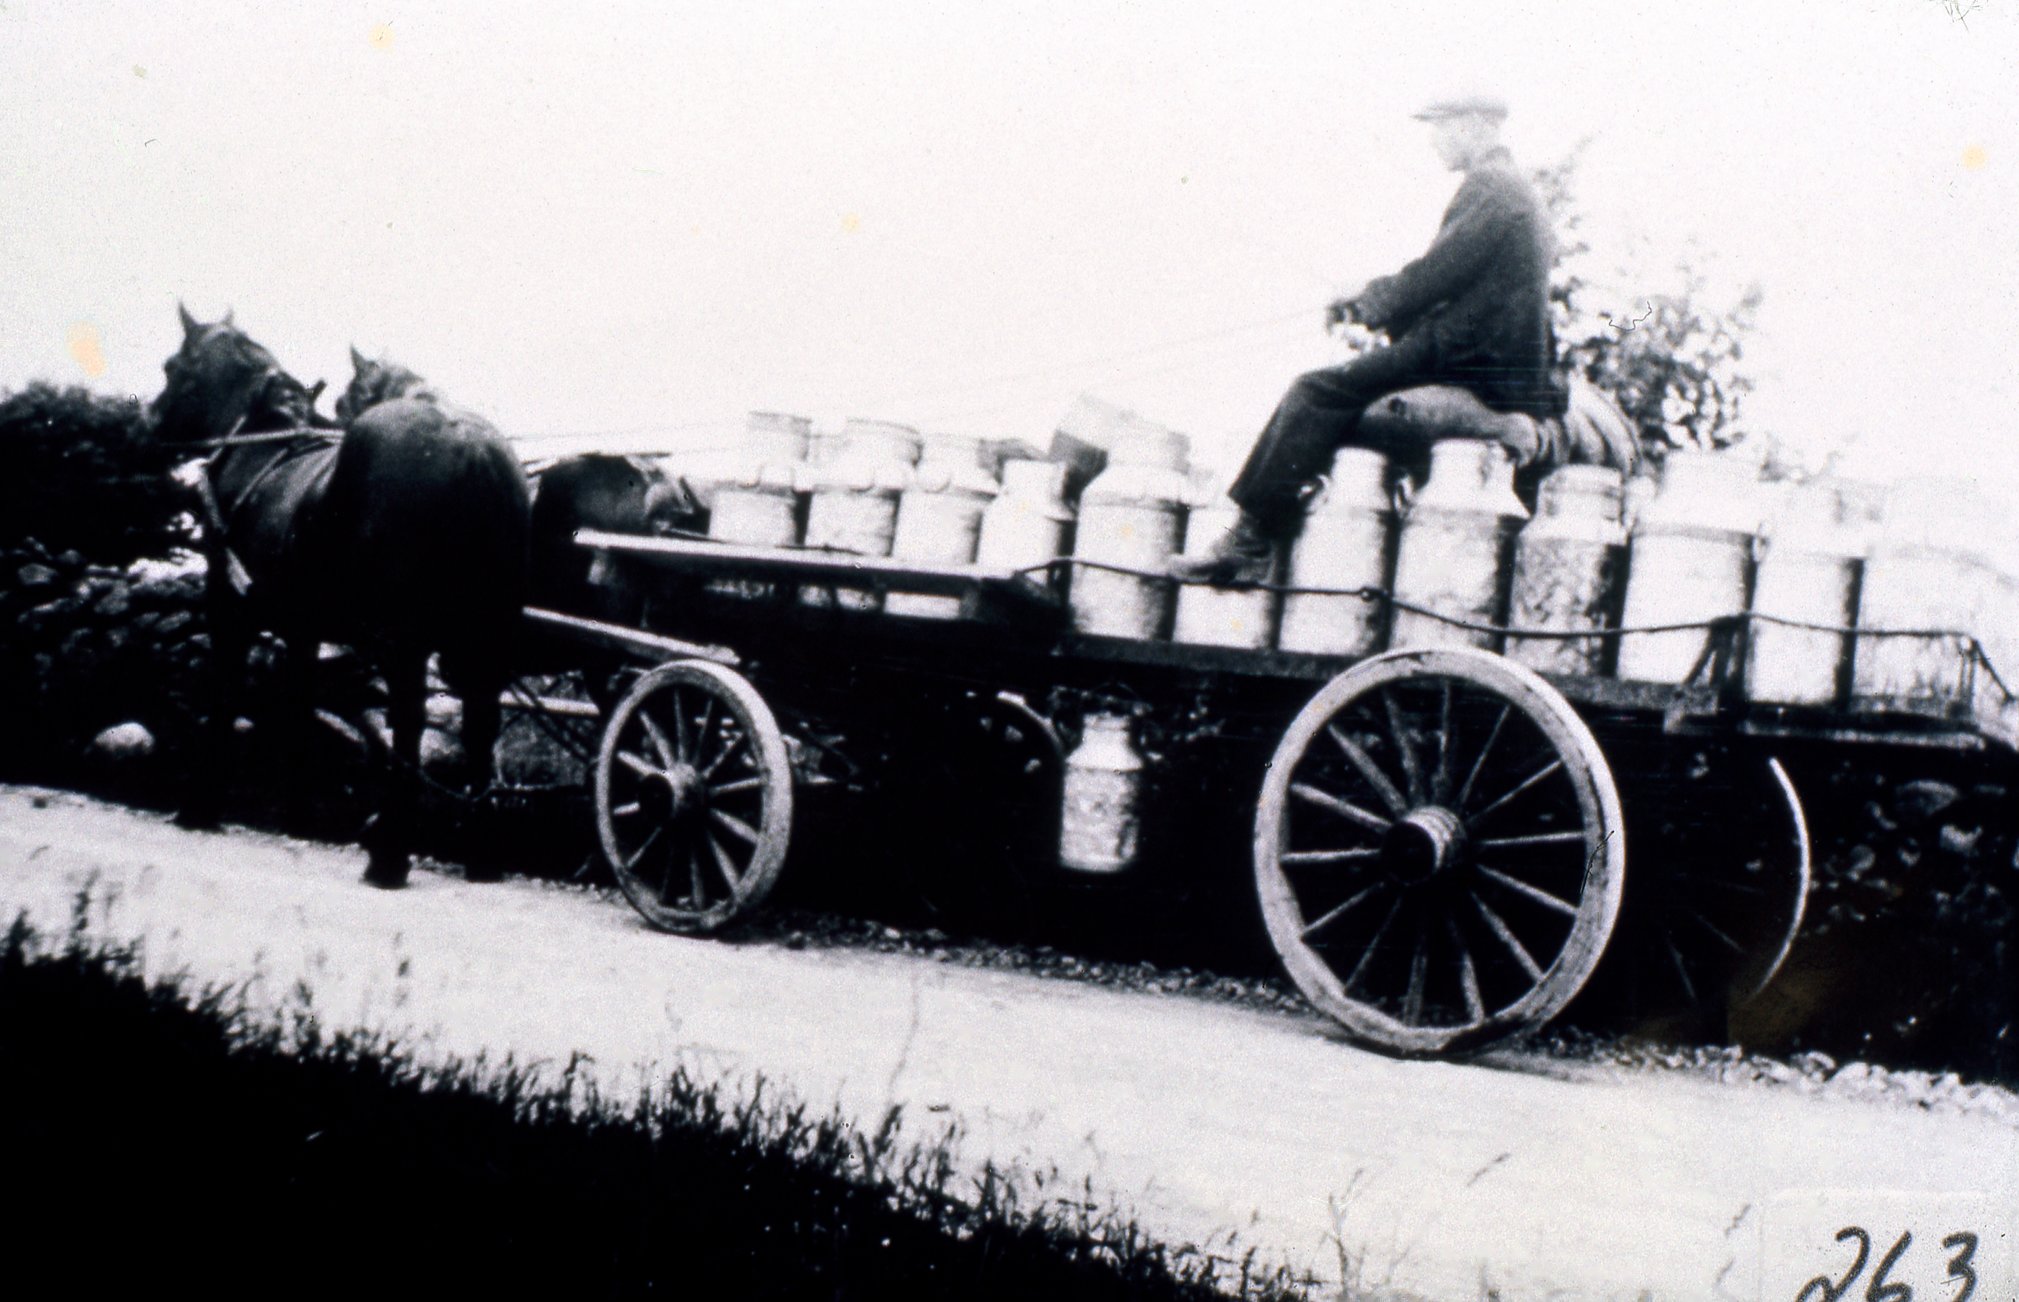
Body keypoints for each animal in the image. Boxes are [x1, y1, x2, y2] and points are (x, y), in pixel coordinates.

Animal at [152, 308, 533, 888]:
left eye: (173, 367)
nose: (150, 421)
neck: (262, 446)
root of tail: (470, 447)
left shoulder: (230, 613)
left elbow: (226, 692)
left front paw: (201, 805)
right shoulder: (303, 630)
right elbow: (299, 704)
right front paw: (296, 812)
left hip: (403, 640)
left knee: (409, 720)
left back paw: (390, 854)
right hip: (479, 638)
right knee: (479, 723)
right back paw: (479, 855)